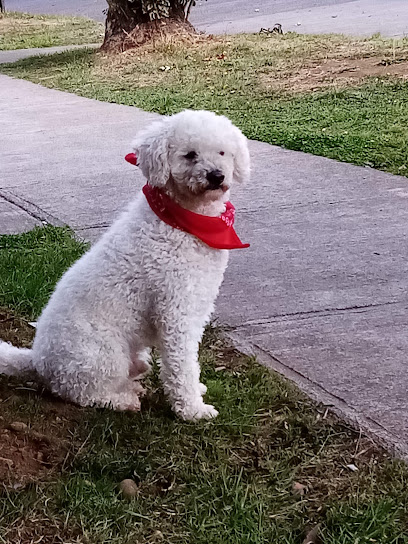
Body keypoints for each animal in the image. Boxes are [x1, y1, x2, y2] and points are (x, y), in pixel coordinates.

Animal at [0, 108, 250, 418]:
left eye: (223, 152)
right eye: (190, 154)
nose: (217, 175)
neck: (182, 221)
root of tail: (37, 358)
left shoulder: (199, 304)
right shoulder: (175, 312)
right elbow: (181, 366)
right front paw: (192, 410)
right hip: (102, 355)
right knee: (81, 393)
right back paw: (122, 399)